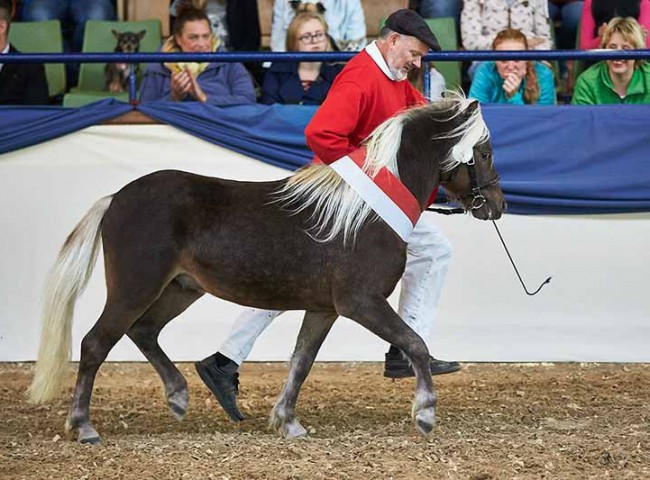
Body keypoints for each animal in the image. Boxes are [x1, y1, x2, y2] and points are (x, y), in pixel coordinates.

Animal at [28, 97, 505, 444]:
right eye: (483, 152)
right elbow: (415, 343)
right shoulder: (361, 303)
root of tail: (115, 199)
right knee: (95, 344)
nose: (497, 206)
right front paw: (425, 413)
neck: (363, 214)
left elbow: (301, 361)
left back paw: (179, 396)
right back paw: (84, 427)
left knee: (143, 331)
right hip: (135, 286)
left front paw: (287, 421)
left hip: (180, 288)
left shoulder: (324, 309)